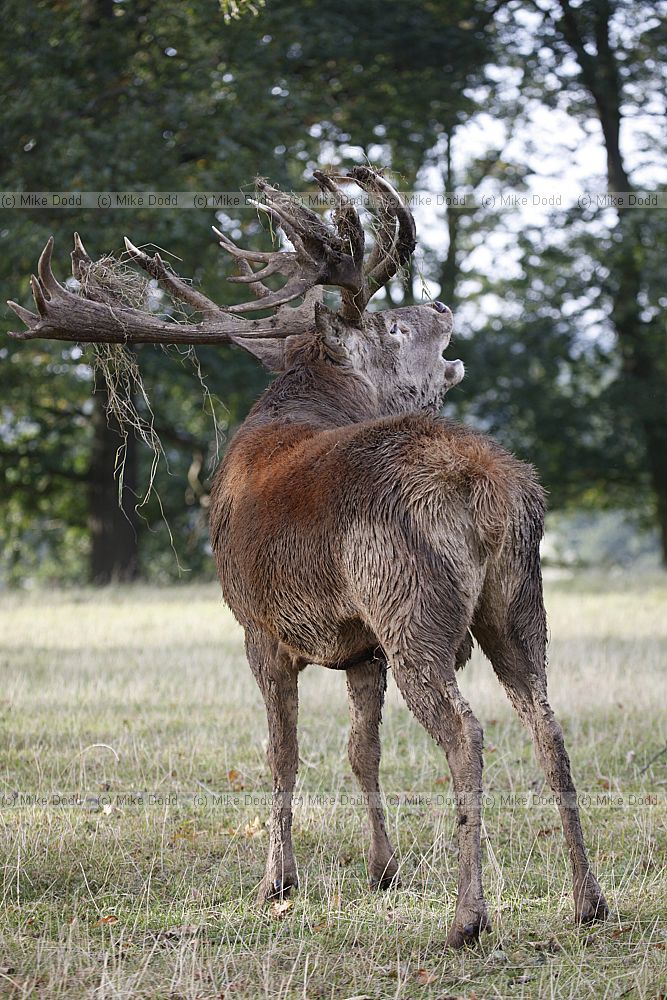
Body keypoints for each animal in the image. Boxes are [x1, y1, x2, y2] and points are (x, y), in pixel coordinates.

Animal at [8, 166, 609, 947]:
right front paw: (382, 868)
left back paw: (466, 918)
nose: (441, 304)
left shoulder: (259, 627)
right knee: (547, 719)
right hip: (516, 599)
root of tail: (488, 485)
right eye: (393, 326)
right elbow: (360, 750)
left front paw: (276, 881)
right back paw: (588, 900)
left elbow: (281, 754)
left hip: (410, 603)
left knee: (466, 733)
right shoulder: (361, 645)